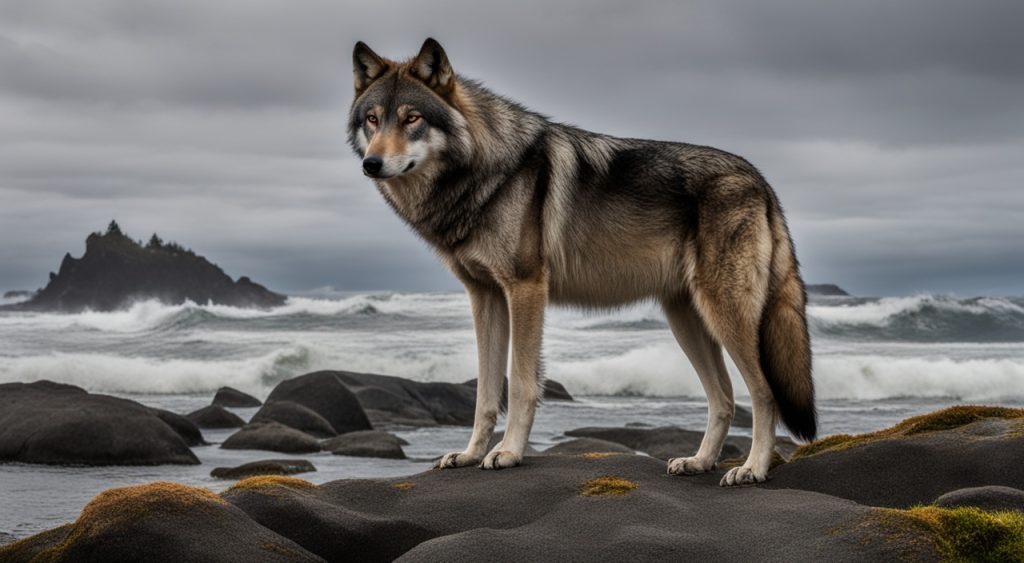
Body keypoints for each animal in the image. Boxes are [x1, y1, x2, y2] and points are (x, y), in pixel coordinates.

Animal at [350, 38, 815, 485]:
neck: (484, 170)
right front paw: (469, 454)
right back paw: (699, 462)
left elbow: (521, 384)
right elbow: (485, 393)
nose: (371, 164)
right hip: (686, 320)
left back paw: (752, 468)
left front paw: (509, 453)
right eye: (372, 119)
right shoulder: (485, 297)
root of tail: (762, 181)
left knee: (764, 394)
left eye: (412, 118)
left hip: (725, 316)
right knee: (723, 398)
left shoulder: (525, 289)